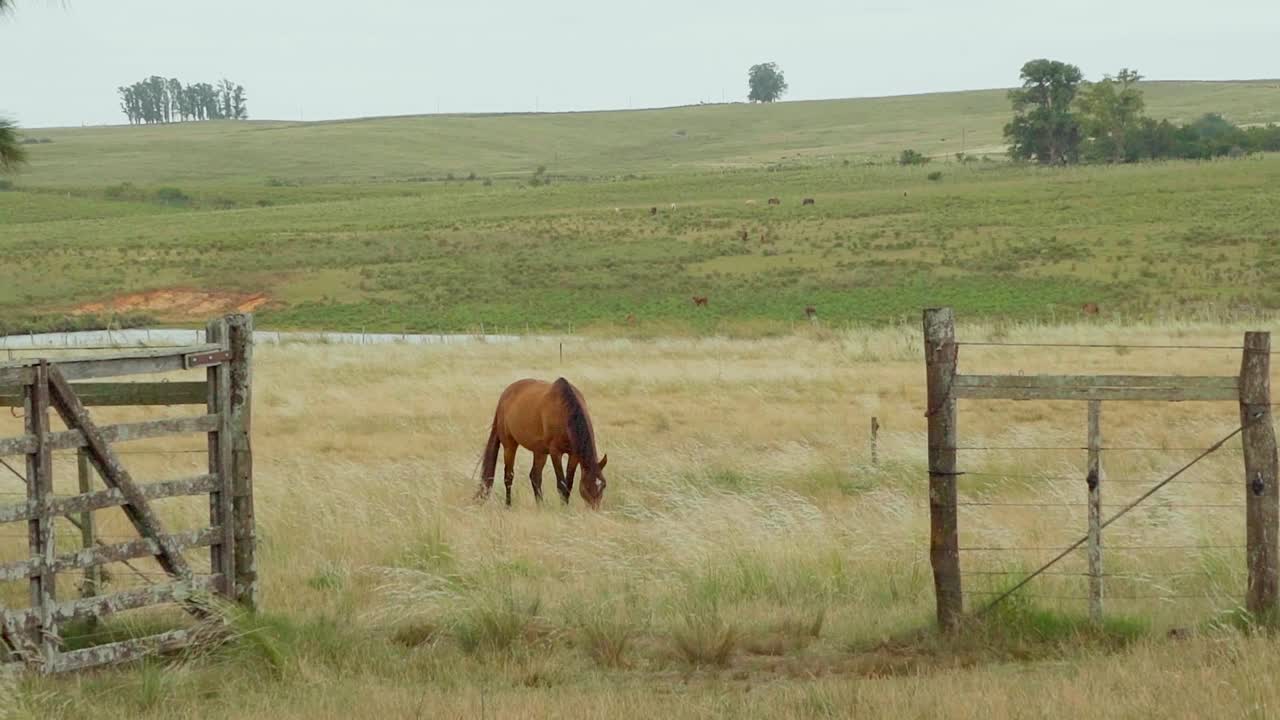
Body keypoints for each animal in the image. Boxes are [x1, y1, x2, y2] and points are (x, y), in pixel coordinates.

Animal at [479, 378, 609, 509]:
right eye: (587, 486)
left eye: (603, 485)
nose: (594, 509)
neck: (564, 411)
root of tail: (503, 397)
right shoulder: (555, 452)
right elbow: (561, 484)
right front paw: (563, 509)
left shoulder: (574, 455)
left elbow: (569, 484)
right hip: (509, 445)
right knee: (508, 476)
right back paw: (508, 505)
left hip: (539, 451)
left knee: (535, 477)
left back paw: (540, 506)